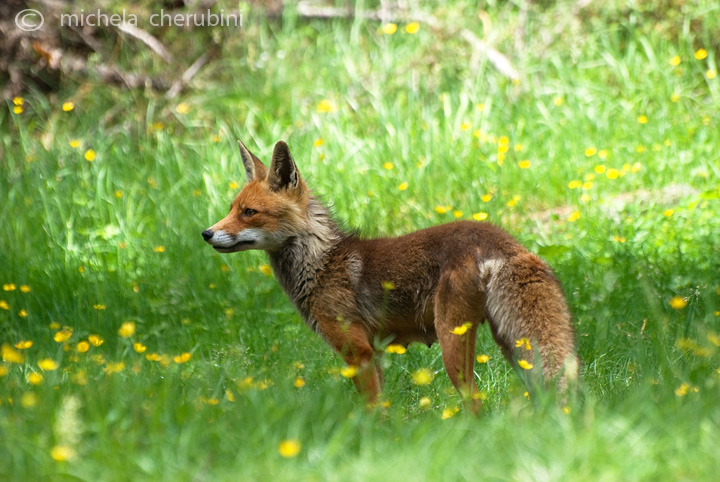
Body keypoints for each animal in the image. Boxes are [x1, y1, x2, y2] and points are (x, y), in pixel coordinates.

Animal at [202, 140, 580, 410]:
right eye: (231, 209)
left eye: (249, 212)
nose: (206, 234)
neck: (322, 264)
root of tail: (501, 239)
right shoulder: (376, 353)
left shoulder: (357, 352)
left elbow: (371, 411)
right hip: (514, 347)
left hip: (454, 341)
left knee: (474, 400)